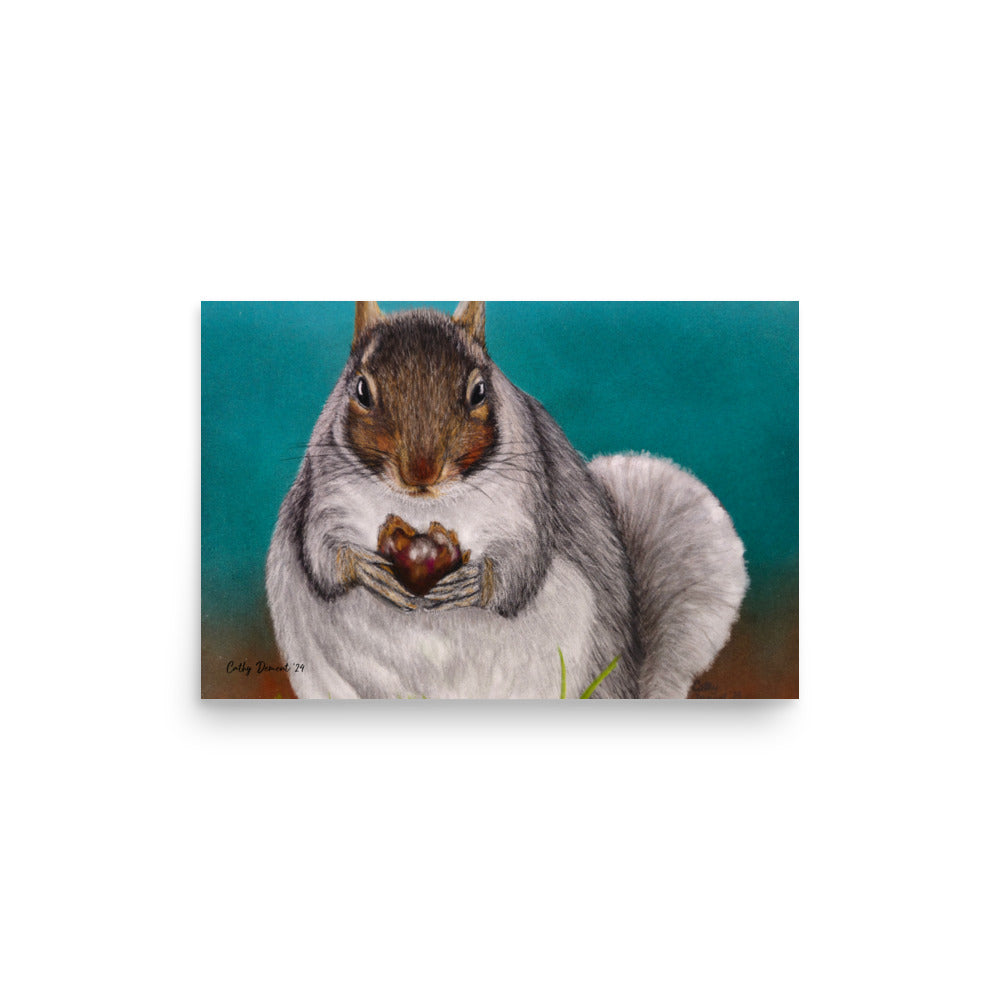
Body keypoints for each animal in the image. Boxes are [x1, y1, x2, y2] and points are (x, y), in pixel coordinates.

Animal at [265, 301, 748, 699]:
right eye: (361, 390)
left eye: (479, 391)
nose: (421, 473)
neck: (425, 507)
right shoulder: (325, 495)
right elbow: (321, 554)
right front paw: (365, 567)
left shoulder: (528, 499)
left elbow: (524, 562)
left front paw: (475, 582)